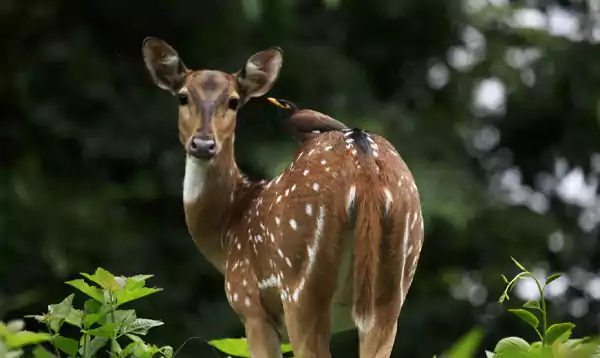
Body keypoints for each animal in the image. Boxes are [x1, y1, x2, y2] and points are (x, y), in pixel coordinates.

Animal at [142, 37, 424, 358]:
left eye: (234, 101)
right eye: (183, 97)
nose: (202, 144)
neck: (228, 230)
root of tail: (363, 166)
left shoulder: (248, 303)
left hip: (300, 286)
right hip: (393, 287)